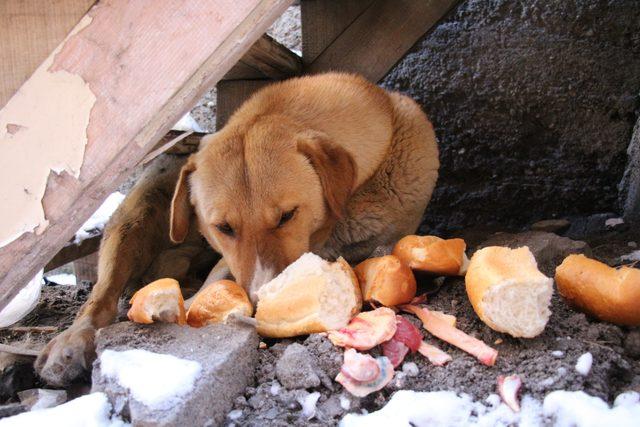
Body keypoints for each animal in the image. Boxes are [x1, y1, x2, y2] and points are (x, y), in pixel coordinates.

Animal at [36, 72, 440, 386]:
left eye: (286, 215)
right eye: (224, 227)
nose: (261, 302)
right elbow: (216, 281)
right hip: (132, 223)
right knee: (102, 295)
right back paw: (71, 343)